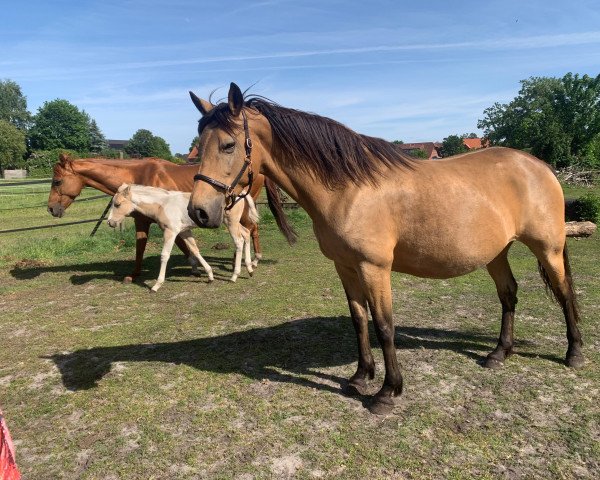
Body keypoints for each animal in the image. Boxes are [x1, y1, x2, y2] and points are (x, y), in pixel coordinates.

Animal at [48, 155, 268, 282]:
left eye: (57, 181)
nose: (51, 208)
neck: (141, 175)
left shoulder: (147, 221)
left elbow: (142, 246)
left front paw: (133, 275)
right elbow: (183, 245)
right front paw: (196, 268)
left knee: (250, 232)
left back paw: (249, 263)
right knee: (248, 232)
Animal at [186, 82, 580, 412]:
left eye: (228, 145)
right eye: (198, 147)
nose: (199, 211)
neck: (348, 188)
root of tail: (539, 165)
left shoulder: (373, 268)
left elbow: (384, 326)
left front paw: (388, 392)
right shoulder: (345, 266)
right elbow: (359, 320)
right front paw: (361, 377)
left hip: (548, 248)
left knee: (564, 292)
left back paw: (574, 353)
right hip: (496, 252)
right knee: (509, 294)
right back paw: (499, 353)